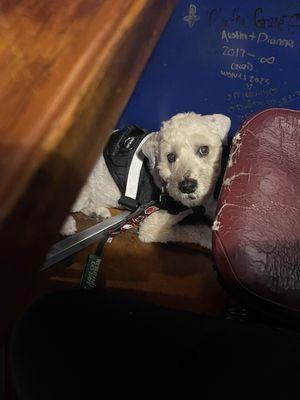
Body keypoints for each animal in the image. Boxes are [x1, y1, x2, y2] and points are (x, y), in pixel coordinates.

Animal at [60, 113, 230, 250]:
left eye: (204, 150)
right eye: (170, 157)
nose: (187, 186)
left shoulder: (209, 202)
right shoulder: (151, 228)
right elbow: (191, 230)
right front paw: (209, 239)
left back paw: (98, 212)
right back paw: (67, 226)